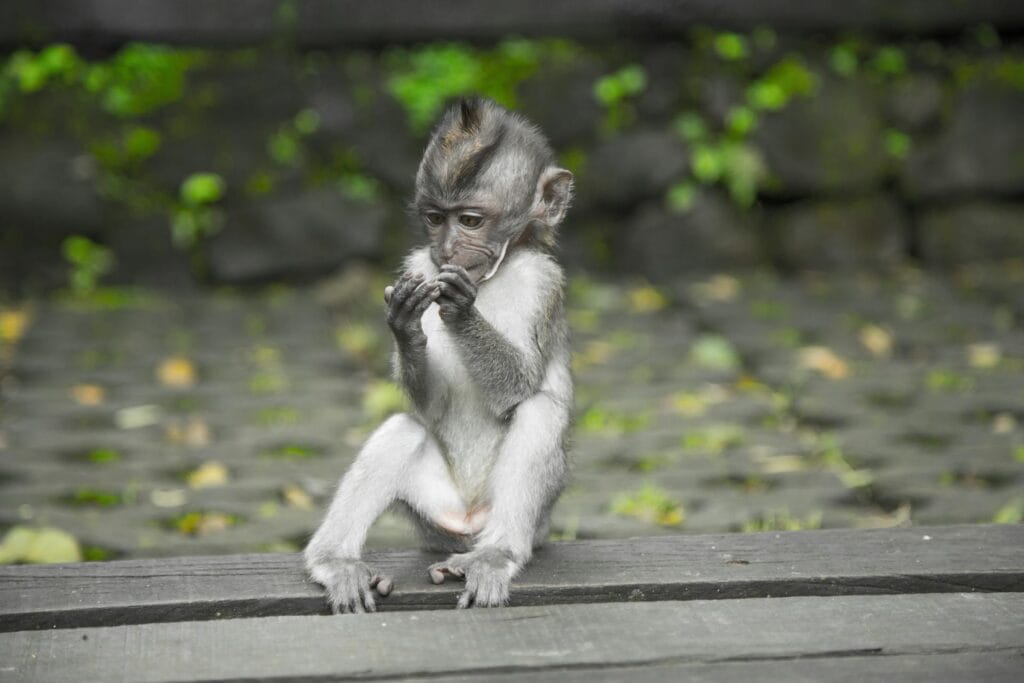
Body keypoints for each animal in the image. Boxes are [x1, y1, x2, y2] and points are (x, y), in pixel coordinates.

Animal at [304, 97, 574, 612]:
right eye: (433, 218)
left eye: (469, 221)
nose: (446, 249)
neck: (495, 275)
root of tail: (468, 521)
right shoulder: (417, 265)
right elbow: (428, 406)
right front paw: (406, 327)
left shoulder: (545, 282)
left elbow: (522, 386)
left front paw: (461, 310)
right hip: (431, 514)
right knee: (402, 428)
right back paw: (337, 562)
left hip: (537, 519)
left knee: (540, 412)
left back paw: (494, 556)